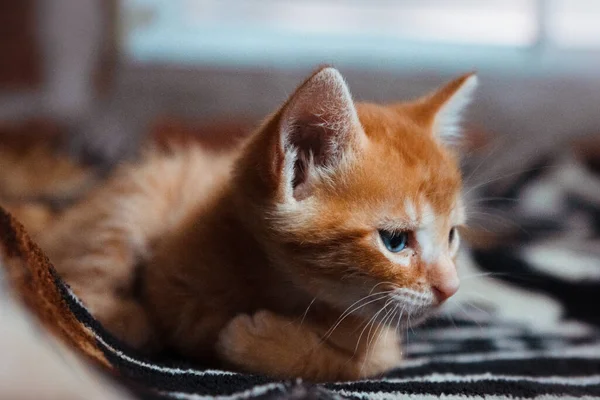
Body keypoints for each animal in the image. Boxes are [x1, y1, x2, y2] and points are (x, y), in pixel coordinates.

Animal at [39, 68, 476, 382]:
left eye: (452, 236)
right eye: (395, 241)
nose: (451, 289)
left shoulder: (383, 342)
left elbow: (361, 361)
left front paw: (261, 341)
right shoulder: (173, 283)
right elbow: (190, 320)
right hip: (142, 193)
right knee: (83, 274)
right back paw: (122, 315)